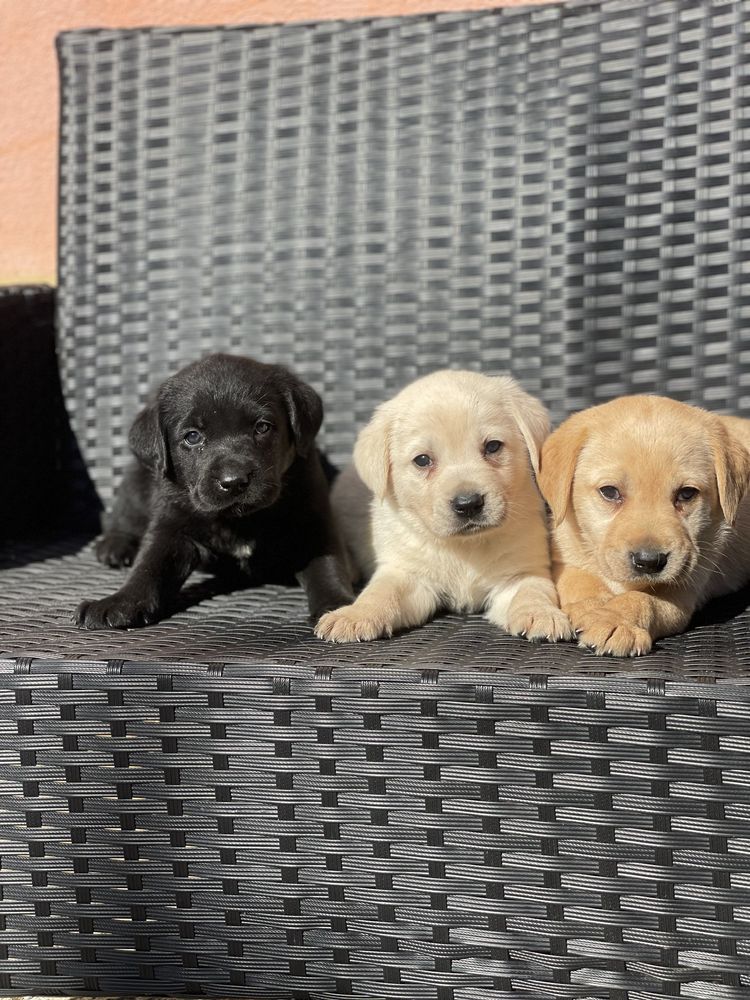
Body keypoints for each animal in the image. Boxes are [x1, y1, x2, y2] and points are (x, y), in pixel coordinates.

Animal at [76, 356, 356, 628]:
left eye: (262, 427)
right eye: (192, 437)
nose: (234, 481)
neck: (240, 519)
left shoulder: (313, 519)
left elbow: (327, 566)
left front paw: (339, 607)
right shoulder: (172, 523)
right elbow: (150, 565)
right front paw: (119, 602)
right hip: (137, 480)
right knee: (126, 513)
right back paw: (116, 546)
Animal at [314, 372, 572, 644]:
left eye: (493, 446)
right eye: (422, 460)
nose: (468, 504)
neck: (465, 546)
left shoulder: (521, 572)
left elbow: (533, 590)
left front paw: (541, 614)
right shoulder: (405, 573)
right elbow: (380, 593)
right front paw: (354, 614)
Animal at [536, 394, 750, 660]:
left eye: (687, 494)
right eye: (610, 492)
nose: (649, 561)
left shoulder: (684, 589)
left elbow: (641, 600)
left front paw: (614, 619)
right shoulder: (564, 557)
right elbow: (579, 581)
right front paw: (591, 607)